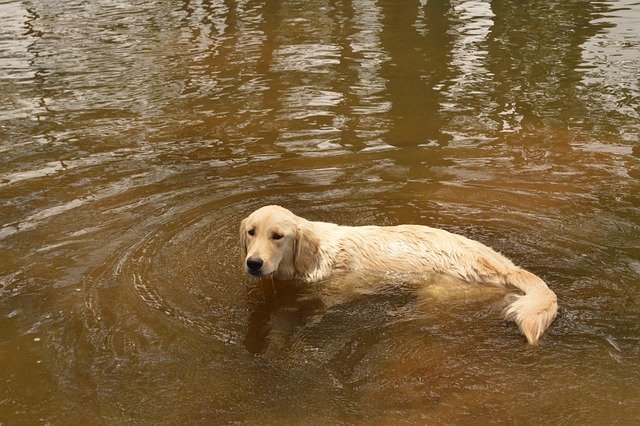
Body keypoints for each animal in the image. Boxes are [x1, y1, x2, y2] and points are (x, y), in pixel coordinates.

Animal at [238, 205, 556, 344]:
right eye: (252, 232)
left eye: (277, 236)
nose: (253, 263)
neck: (315, 256)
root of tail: (501, 265)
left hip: (436, 294)